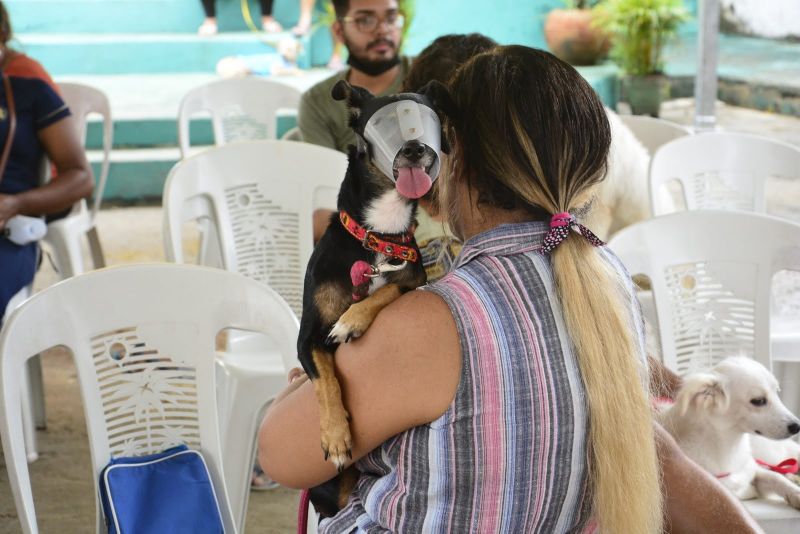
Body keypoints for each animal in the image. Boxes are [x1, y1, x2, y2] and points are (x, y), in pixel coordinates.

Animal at [298, 80, 444, 520]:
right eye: (384, 124)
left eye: (426, 120)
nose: (414, 147)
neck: (379, 236)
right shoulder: (307, 340)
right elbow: (326, 381)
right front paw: (336, 437)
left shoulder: (412, 277)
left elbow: (389, 291)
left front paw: (353, 319)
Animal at [656, 356, 800, 510]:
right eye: (758, 401)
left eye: (777, 392)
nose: (797, 426)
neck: (730, 446)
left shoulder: (752, 470)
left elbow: (776, 478)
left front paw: (795, 493)